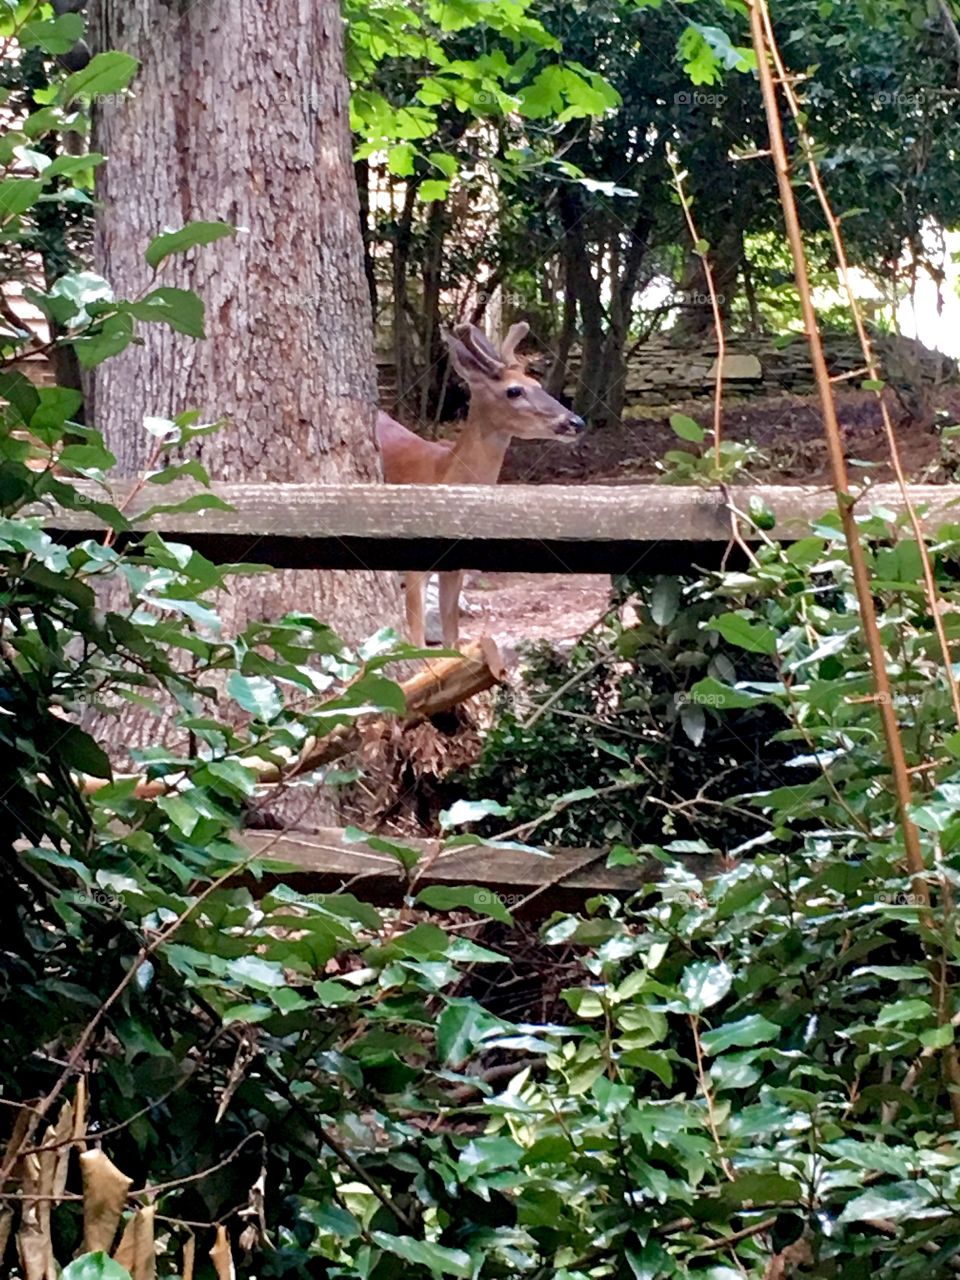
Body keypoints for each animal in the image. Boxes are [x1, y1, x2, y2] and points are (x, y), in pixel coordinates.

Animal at [376, 321, 586, 647]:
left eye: (537, 384)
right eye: (514, 390)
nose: (575, 422)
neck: (441, 473)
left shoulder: (454, 565)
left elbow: (452, 639)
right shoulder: (413, 563)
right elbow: (418, 642)